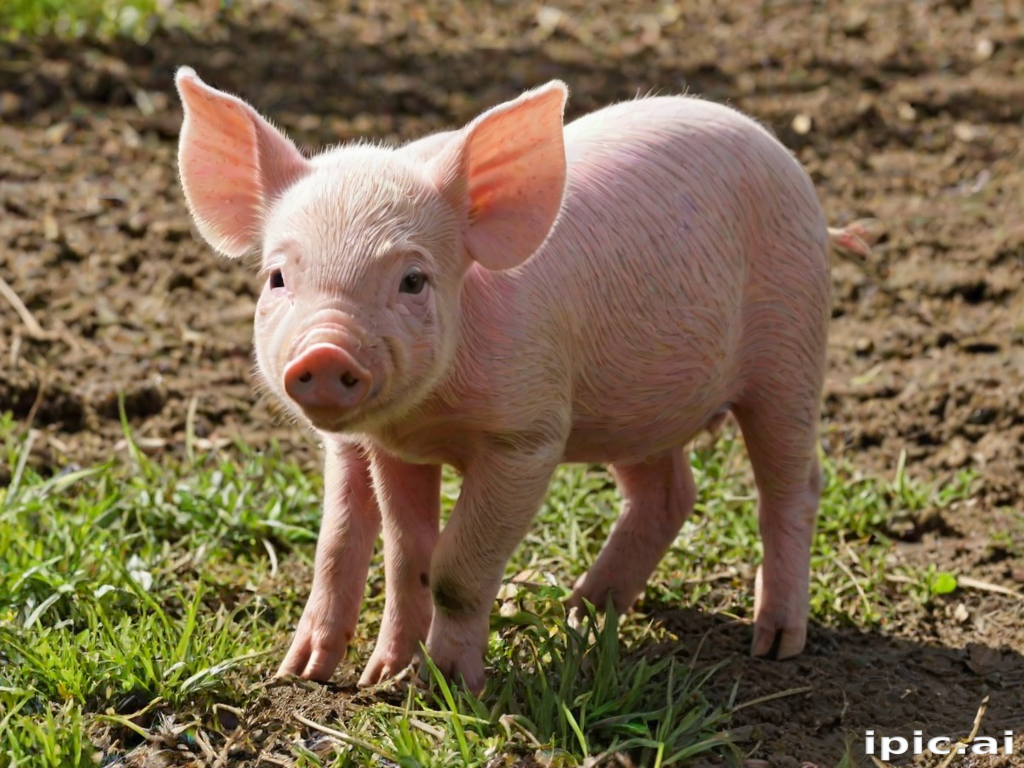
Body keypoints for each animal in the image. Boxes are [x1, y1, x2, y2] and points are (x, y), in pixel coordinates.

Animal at [174, 66, 870, 695]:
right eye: (277, 277)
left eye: (413, 280)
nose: (323, 351)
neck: (431, 419)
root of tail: (804, 188)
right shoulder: (393, 447)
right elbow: (406, 558)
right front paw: (371, 678)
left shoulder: (527, 436)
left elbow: (455, 568)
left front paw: (444, 689)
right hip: (639, 407)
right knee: (670, 493)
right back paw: (581, 609)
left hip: (791, 348)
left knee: (792, 486)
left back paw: (773, 643)